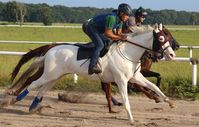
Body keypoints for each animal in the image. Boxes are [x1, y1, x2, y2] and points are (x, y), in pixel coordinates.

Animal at [3, 23, 175, 123]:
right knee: (33, 83)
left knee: (42, 89)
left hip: (55, 76)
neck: (129, 52)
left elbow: (154, 87)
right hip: (49, 74)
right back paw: (13, 100)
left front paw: (169, 101)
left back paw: (33, 107)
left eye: (168, 37)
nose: (172, 54)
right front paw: (131, 119)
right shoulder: (121, 80)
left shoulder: (135, 77)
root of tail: (52, 48)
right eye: (161, 38)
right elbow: (126, 100)